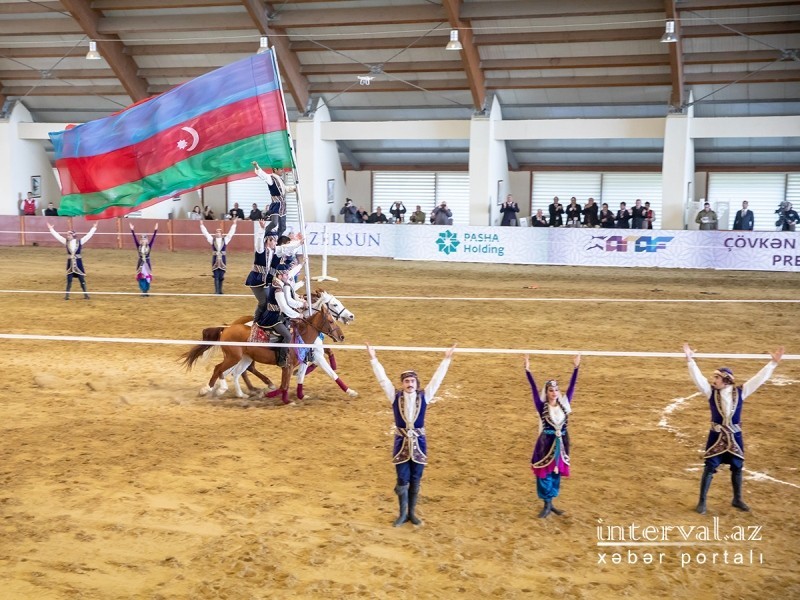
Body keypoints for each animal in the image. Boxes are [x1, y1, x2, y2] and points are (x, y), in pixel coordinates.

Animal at [181, 303, 344, 405]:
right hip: (233, 357)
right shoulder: (288, 366)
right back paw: (211, 389)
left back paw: (241, 393)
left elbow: (286, 384)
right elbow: (284, 385)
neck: (299, 338)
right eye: (330, 321)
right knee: (219, 369)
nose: (341, 336)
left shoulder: (290, 366)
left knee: (234, 372)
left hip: (243, 358)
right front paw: (285, 400)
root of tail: (226, 328)